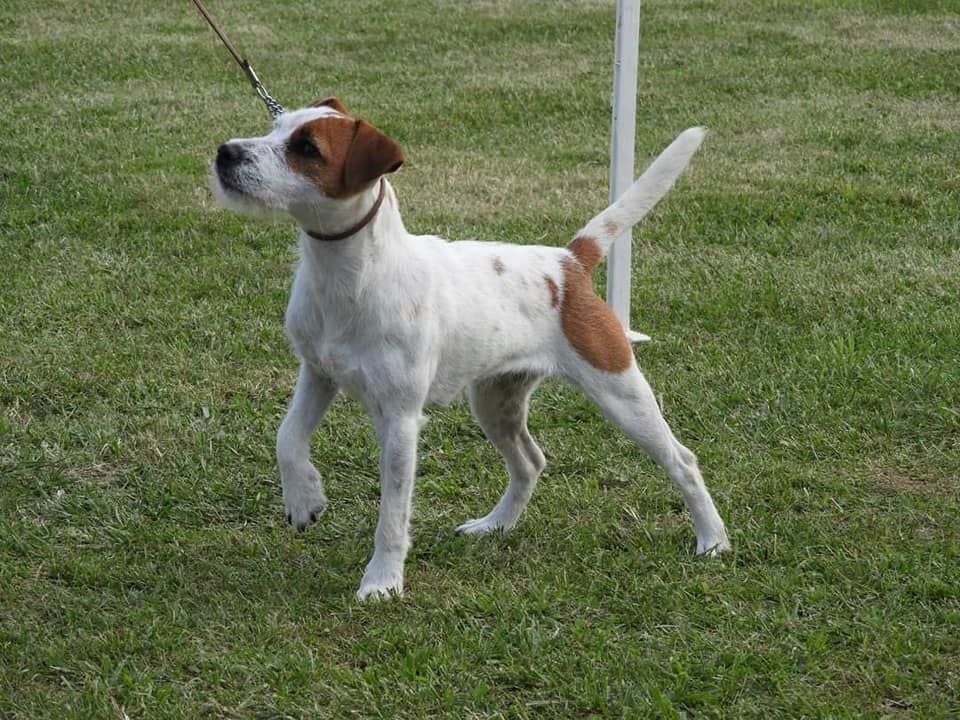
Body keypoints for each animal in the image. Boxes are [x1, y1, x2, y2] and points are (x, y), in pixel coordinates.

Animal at [212, 97, 731, 599]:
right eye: (276, 128)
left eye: (307, 148)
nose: (226, 152)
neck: (353, 278)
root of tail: (567, 263)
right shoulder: (318, 373)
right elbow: (287, 437)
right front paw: (304, 499)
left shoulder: (400, 419)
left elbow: (392, 515)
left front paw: (382, 581)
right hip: (494, 400)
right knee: (529, 462)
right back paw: (494, 526)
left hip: (618, 390)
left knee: (682, 460)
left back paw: (713, 540)